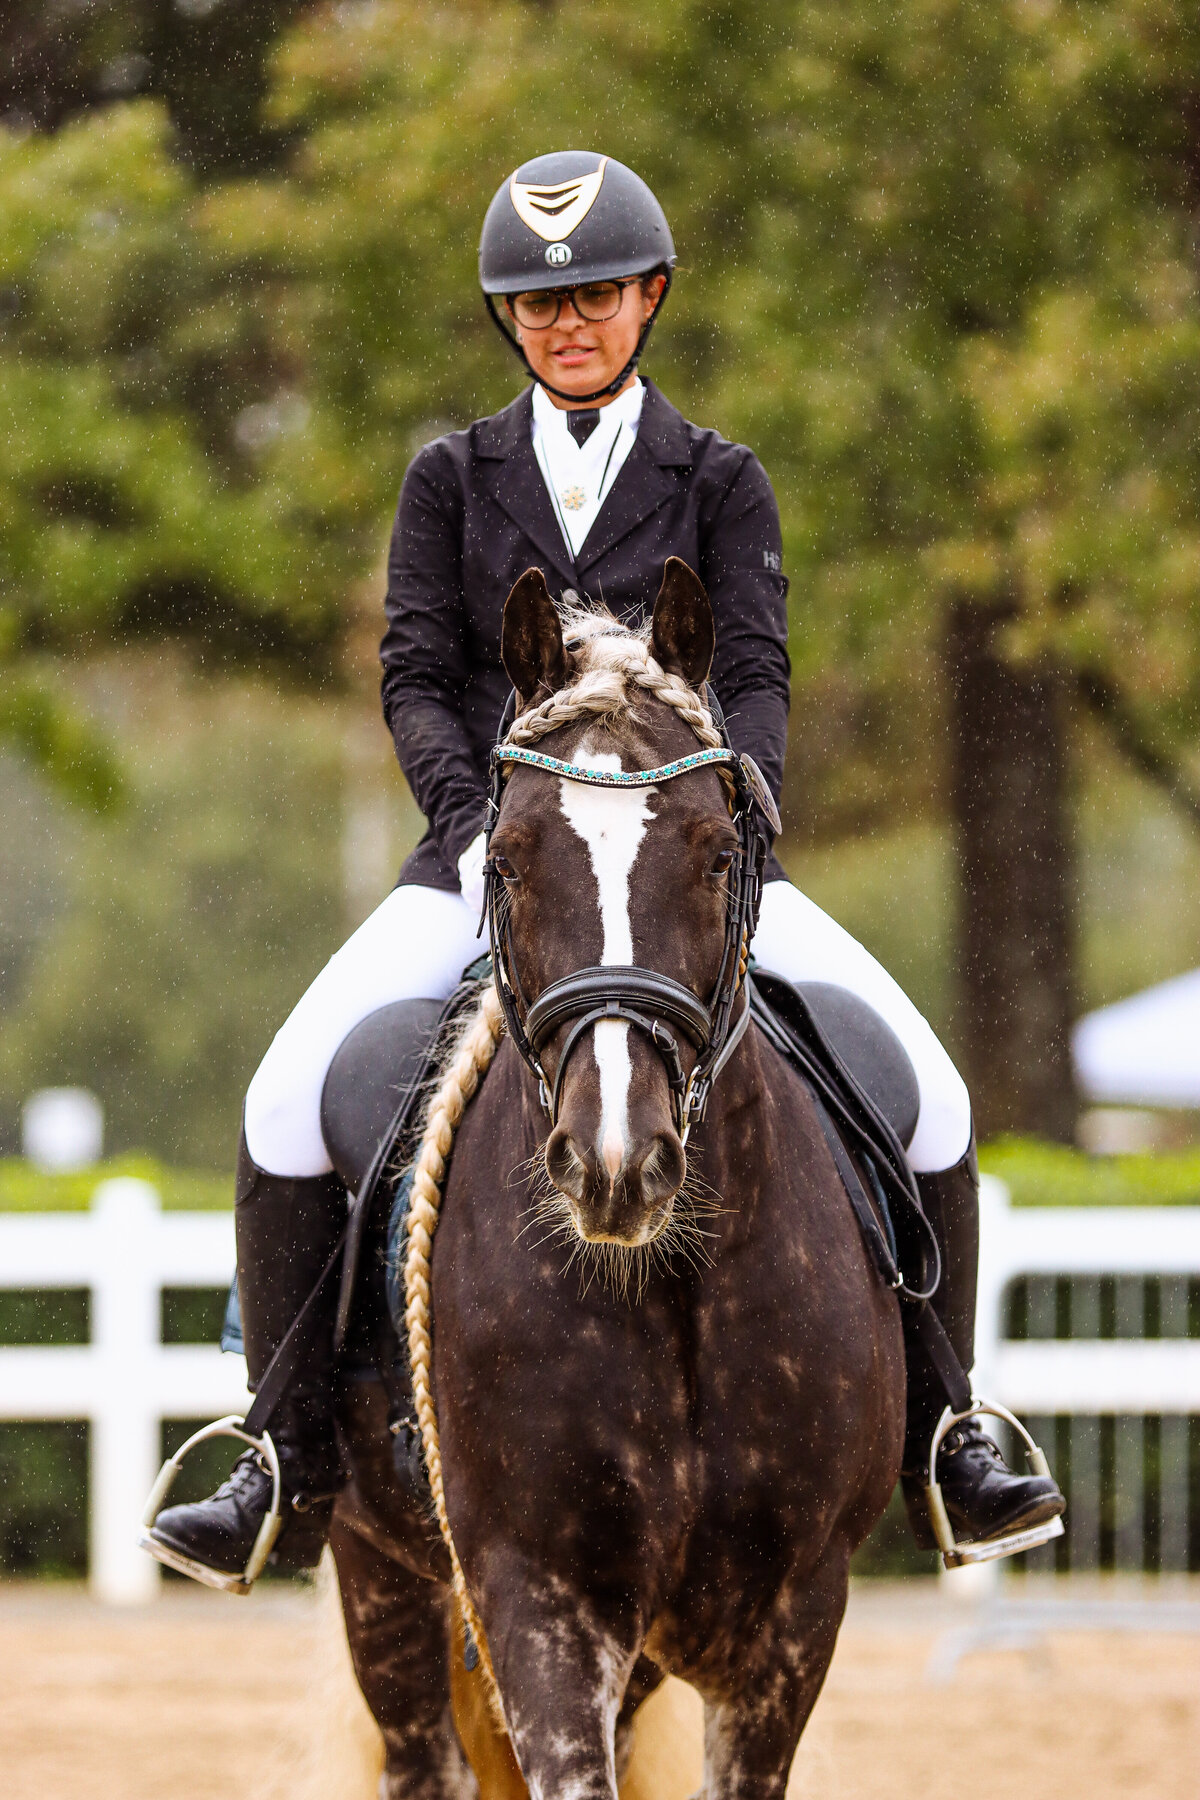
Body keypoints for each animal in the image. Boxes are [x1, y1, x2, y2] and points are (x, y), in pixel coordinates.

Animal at [325, 558, 906, 1799]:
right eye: (505, 860)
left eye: (718, 852)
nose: (614, 1165)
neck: (673, 1290)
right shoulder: (538, 1594)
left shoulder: (793, 1615)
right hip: (377, 1570)